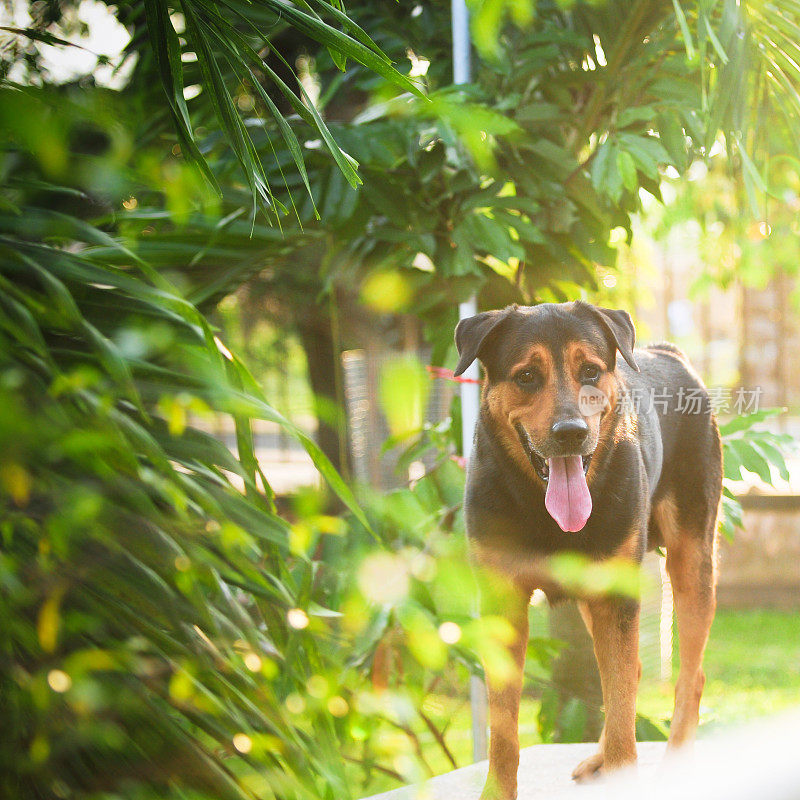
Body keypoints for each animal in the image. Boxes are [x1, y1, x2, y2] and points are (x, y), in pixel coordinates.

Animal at [454, 302, 720, 800]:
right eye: (526, 376)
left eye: (591, 372)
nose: (571, 432)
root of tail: (669, 354)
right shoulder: (503, 602)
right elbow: (504, 728)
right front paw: (497, 790)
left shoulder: (616, 598)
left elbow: (620, 711)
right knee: (631, 676)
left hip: (692, 558)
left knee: (686, 677)